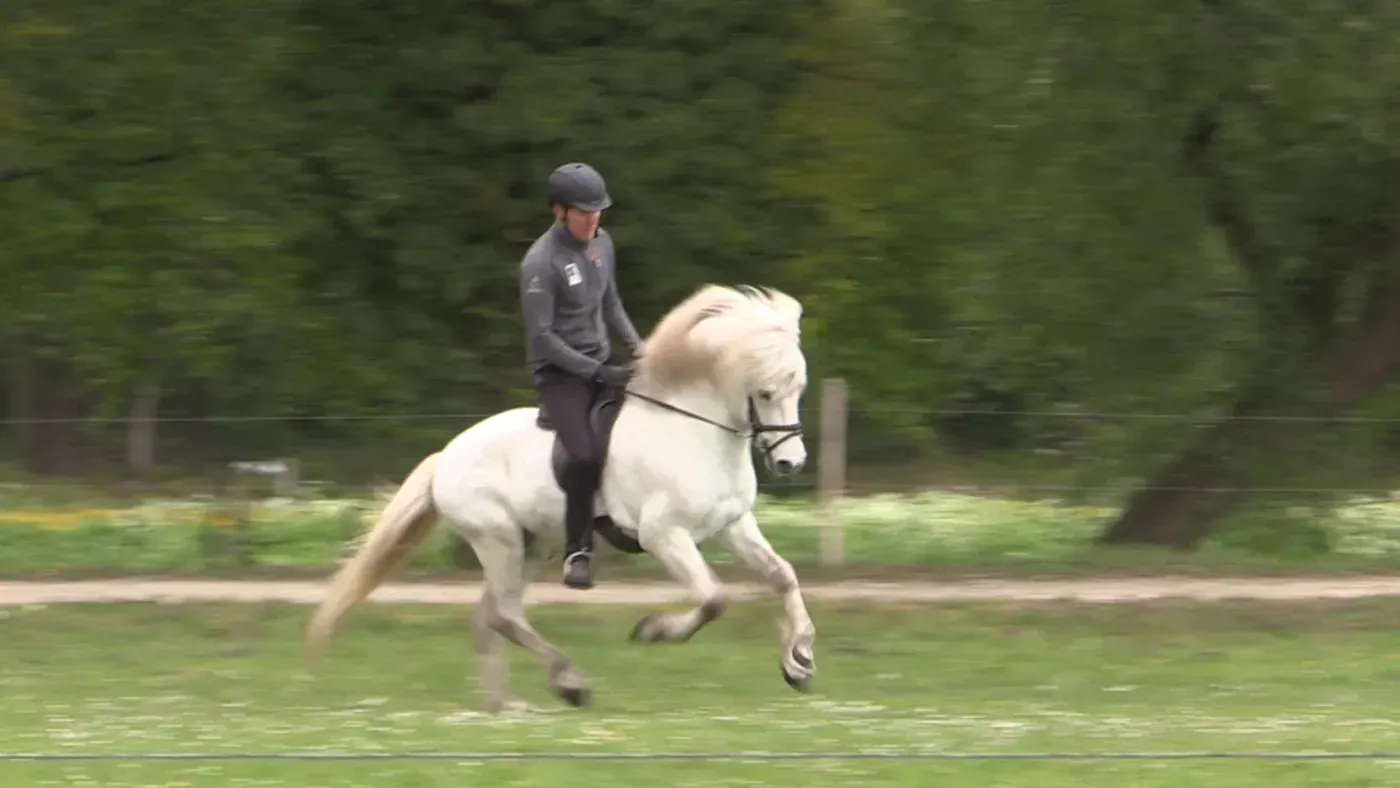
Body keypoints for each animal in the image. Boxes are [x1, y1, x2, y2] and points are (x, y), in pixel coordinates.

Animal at [305, 284, 816, 711]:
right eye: (765, 392)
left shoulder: (731, 525)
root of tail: (446, 455)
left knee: (491, 616)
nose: (790, 463)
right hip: (499, 541)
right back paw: (568, 683)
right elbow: (713, 599)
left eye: (799, 389)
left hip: (534, 546)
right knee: (505, 615)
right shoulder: (664, 535)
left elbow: (783, 575)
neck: (690, 431)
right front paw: (652, 631)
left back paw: (506, 706)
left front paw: (800, 661)